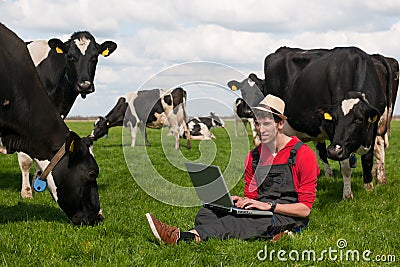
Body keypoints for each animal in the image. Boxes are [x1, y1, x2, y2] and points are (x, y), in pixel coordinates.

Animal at [19, 31, 115, 199]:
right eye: (70, 56)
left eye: (95, 57)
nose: (84, 85)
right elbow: (25, 159)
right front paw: (26, 192)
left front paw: (40, 183)